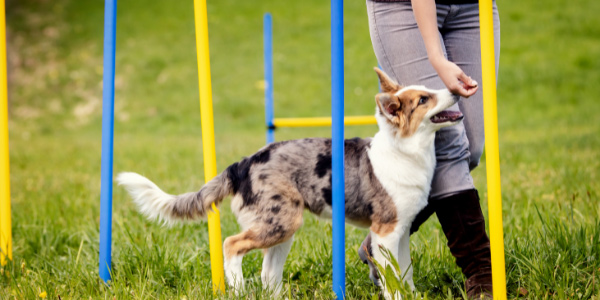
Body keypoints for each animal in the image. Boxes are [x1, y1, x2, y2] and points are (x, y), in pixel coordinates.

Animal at [117, 67, 464, 298]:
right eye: (424, 99)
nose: (456, 88)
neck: (405, 151)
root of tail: (243, 163)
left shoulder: (401, 232)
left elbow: (405, 272)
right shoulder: (385, 232)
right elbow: (392, 280)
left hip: (283, 227)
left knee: (268, 272)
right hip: (280, 222)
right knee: (232, 245)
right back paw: (238, 289)